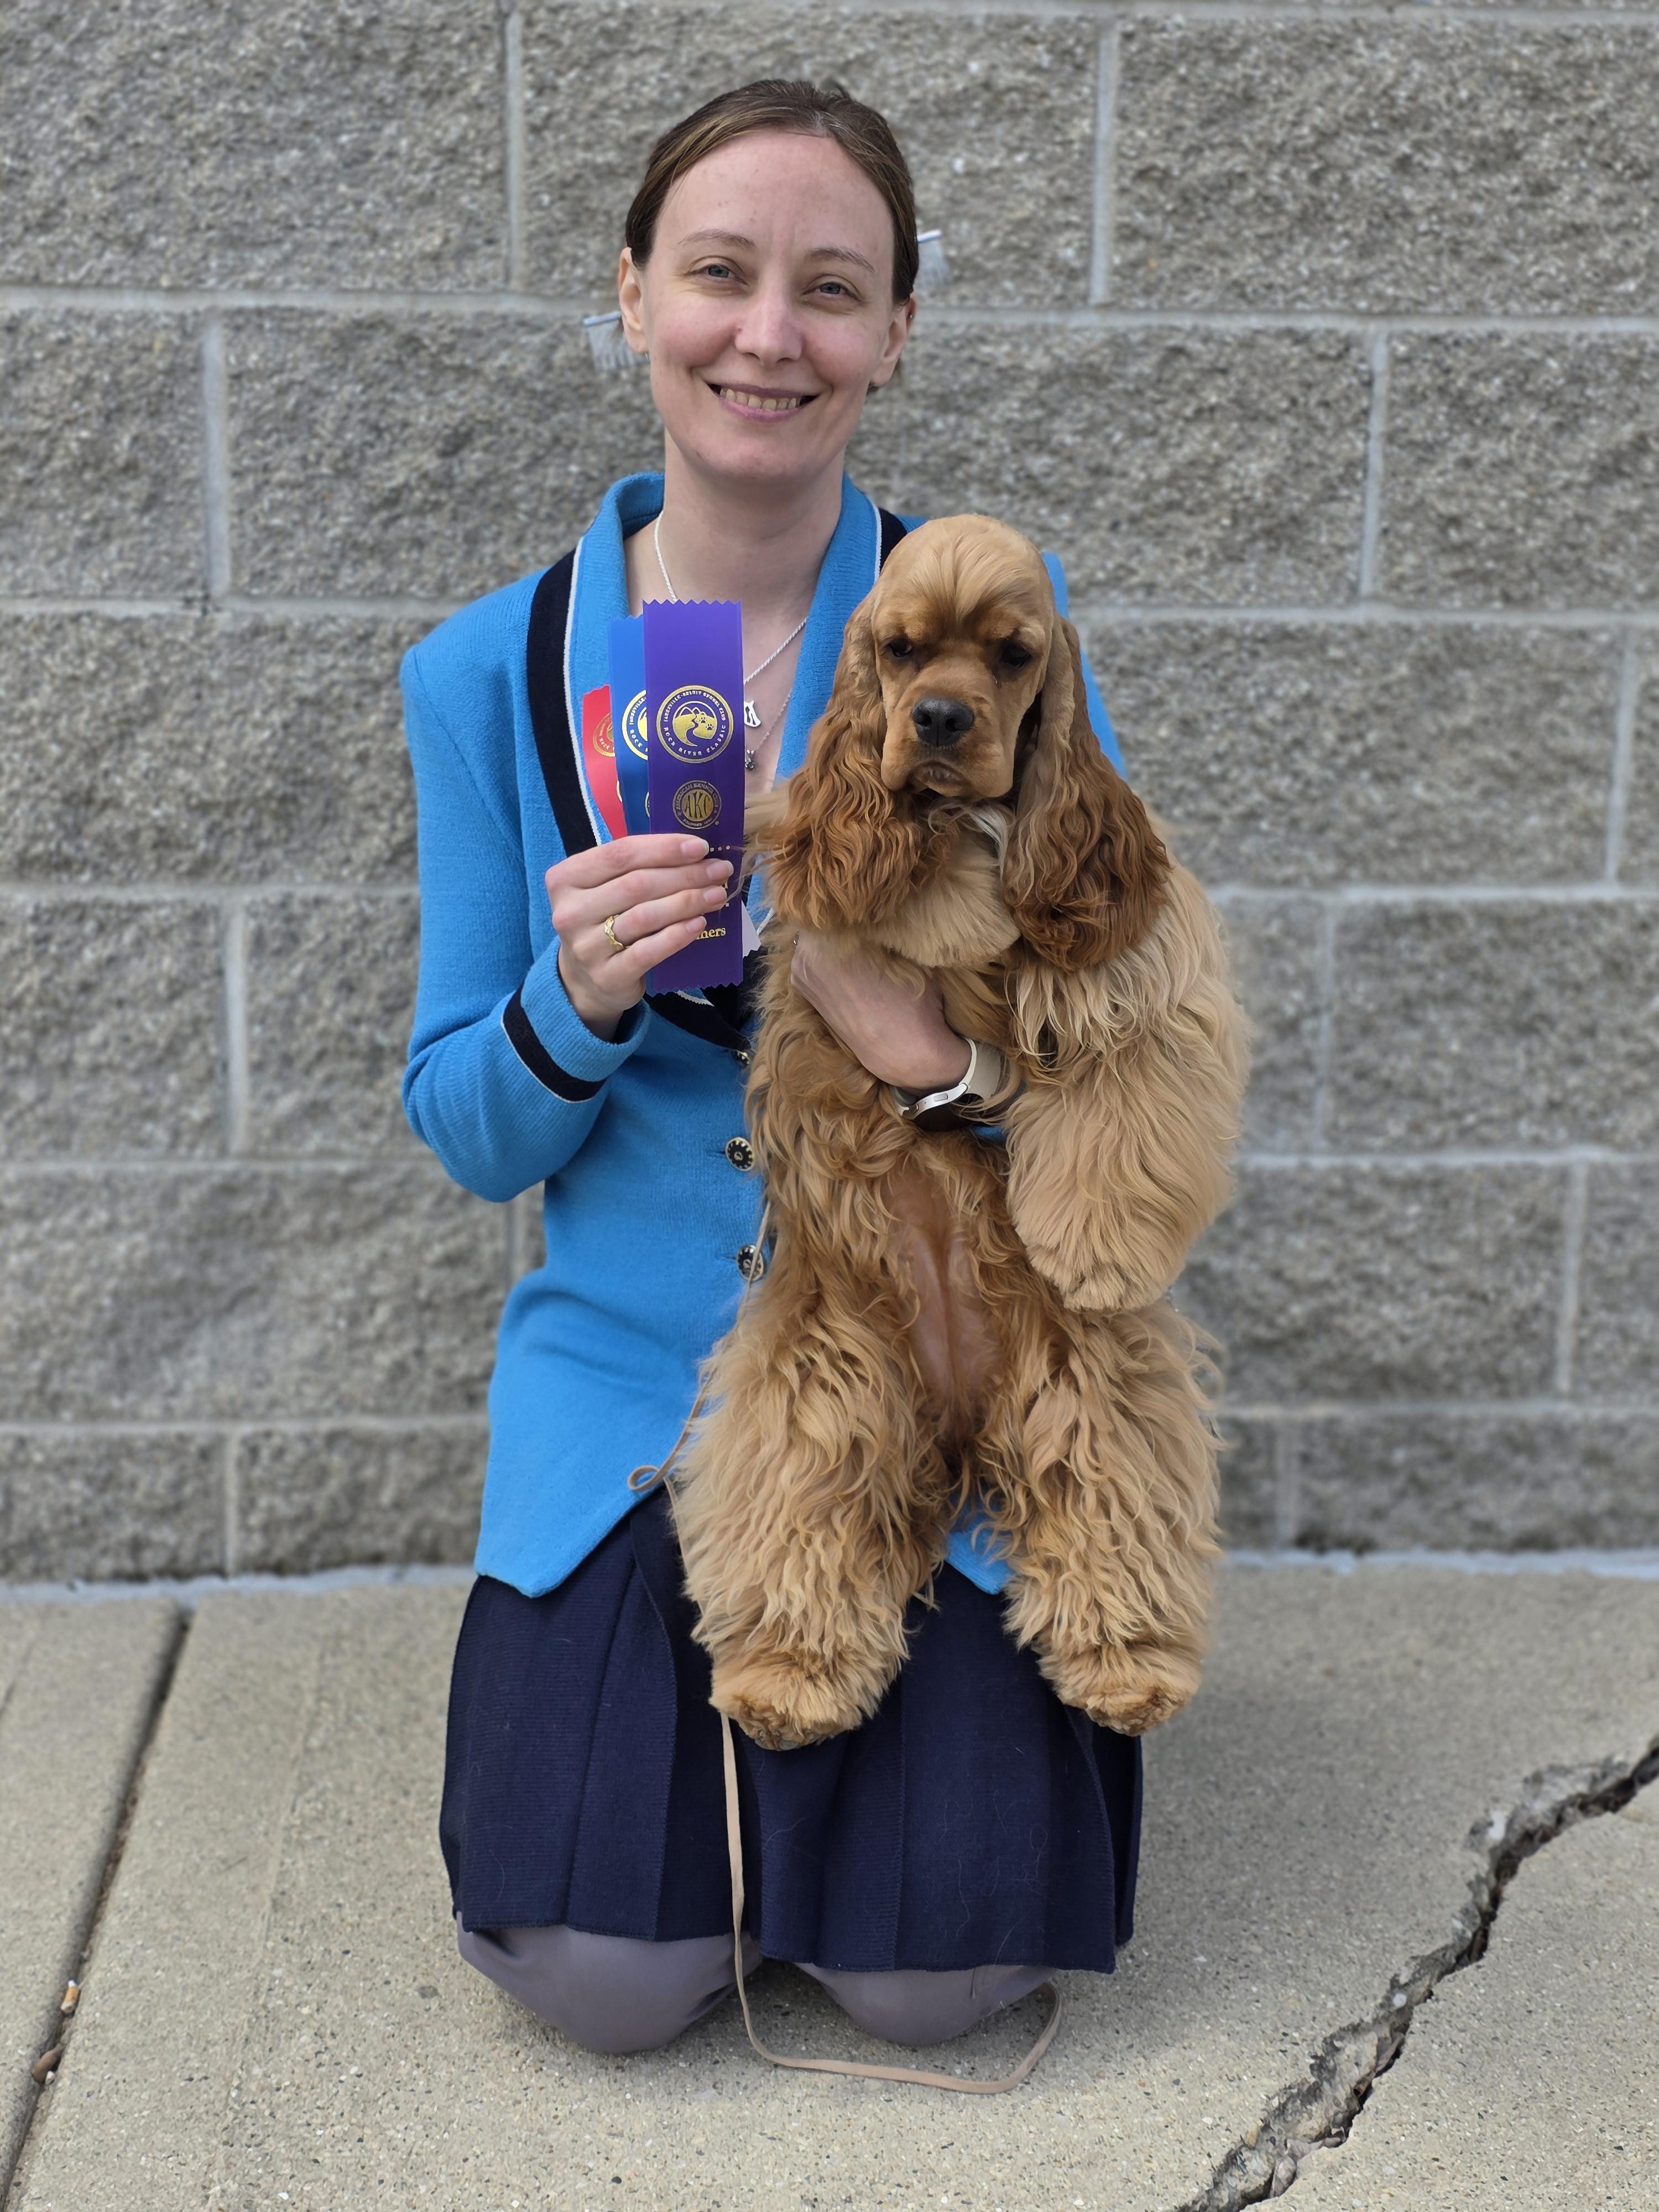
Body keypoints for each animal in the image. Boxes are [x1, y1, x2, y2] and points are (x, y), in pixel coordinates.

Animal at [672, 515, 1247, 1751]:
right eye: (898, 650)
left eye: (1012, 654)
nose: (938, 720)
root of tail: (956, 1434)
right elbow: (917, 882)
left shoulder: (1126, 932)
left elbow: (1123, 1049)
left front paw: (1096, 1242)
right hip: (826, 1370)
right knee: (809, 1517)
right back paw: (788, 1676)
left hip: (1090, 1371)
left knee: (1104, 1496)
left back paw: (1126, 1662)